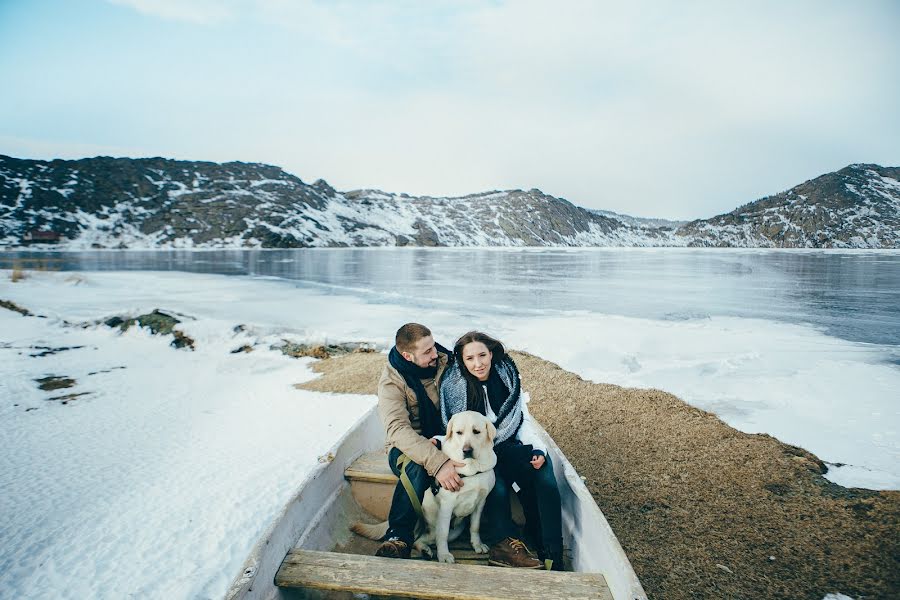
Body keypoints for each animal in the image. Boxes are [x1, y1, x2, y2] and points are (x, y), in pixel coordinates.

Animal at [352, 408, 496, 564]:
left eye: (476, 431)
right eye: (459, 432)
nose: (467, 450)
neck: (471, 469)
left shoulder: (481, 502)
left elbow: (475, 526)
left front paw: (477, 544)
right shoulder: (446, 506)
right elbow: (442, 534)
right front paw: (444, 555)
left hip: (455, 531)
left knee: (421, 540)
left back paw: (426, 551)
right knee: (419, 540)